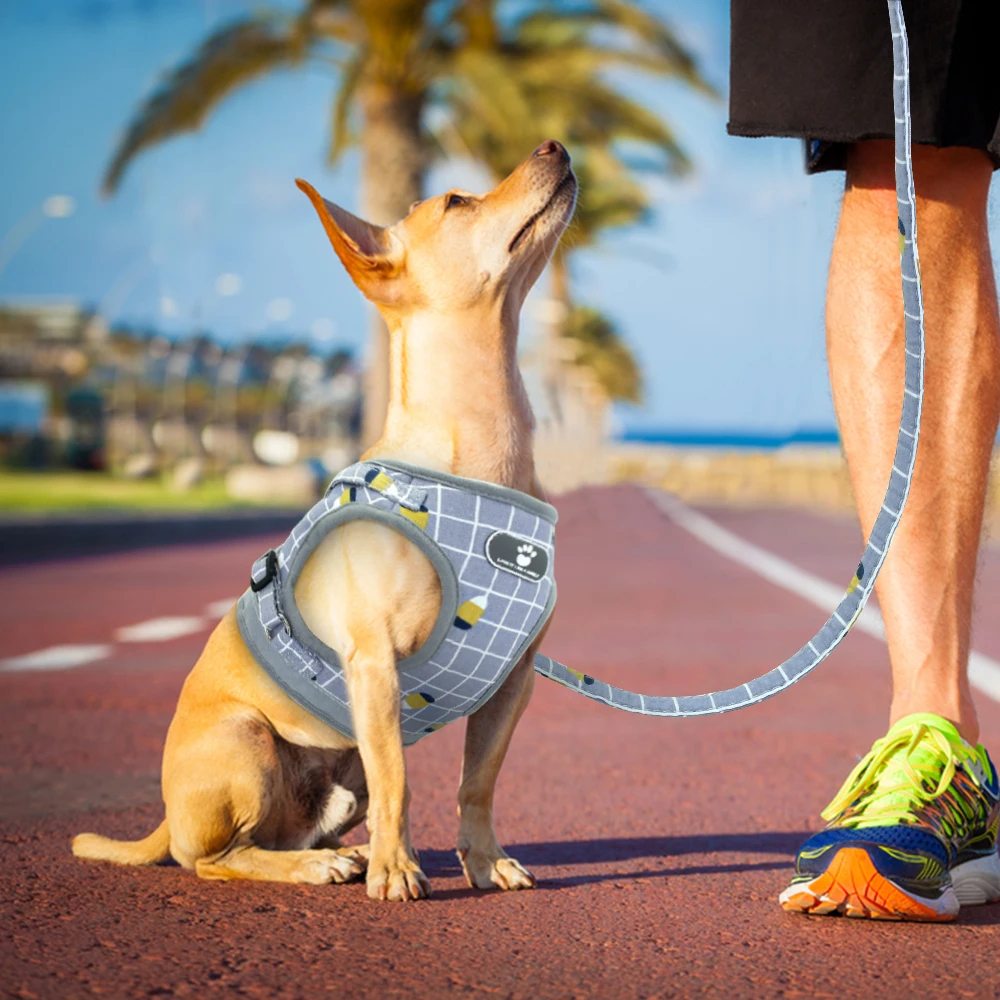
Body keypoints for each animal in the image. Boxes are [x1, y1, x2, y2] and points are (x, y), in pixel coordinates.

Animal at [74, 139, 580, 900]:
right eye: (456, 202)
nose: (554, 144)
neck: (484, 457)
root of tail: (166, 816)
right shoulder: (375, 664)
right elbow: (401, 781)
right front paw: (397, 872)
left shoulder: (512, 683)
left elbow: (477, 783)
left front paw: (484, 861)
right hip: (248, 741)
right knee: (220, 857)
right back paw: (325, 865)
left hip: (338, 780)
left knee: (286, 833)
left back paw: (342, 853)